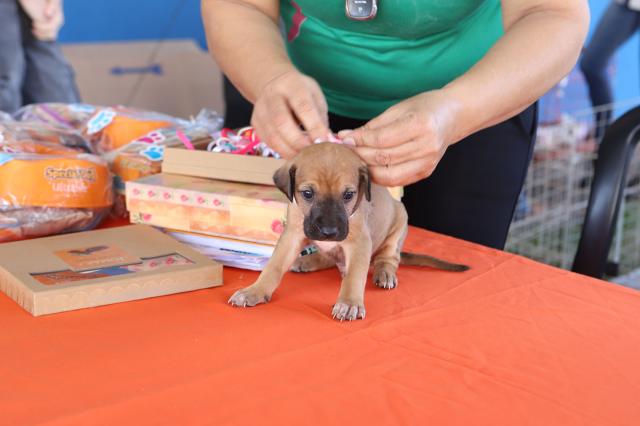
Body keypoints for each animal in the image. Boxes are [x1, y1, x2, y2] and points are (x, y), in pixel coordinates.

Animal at [228, 142, 469, 320]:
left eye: (348, 195)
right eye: (307, 193)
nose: (329, 232)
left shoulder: (359, 243)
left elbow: (354, 276)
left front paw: (349, 303)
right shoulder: (292, 235)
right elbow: (273, 267)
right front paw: (254, 291)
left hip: (399, 223)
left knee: (388, 258)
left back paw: (385, 273)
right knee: (328, 257)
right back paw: (307, 261)